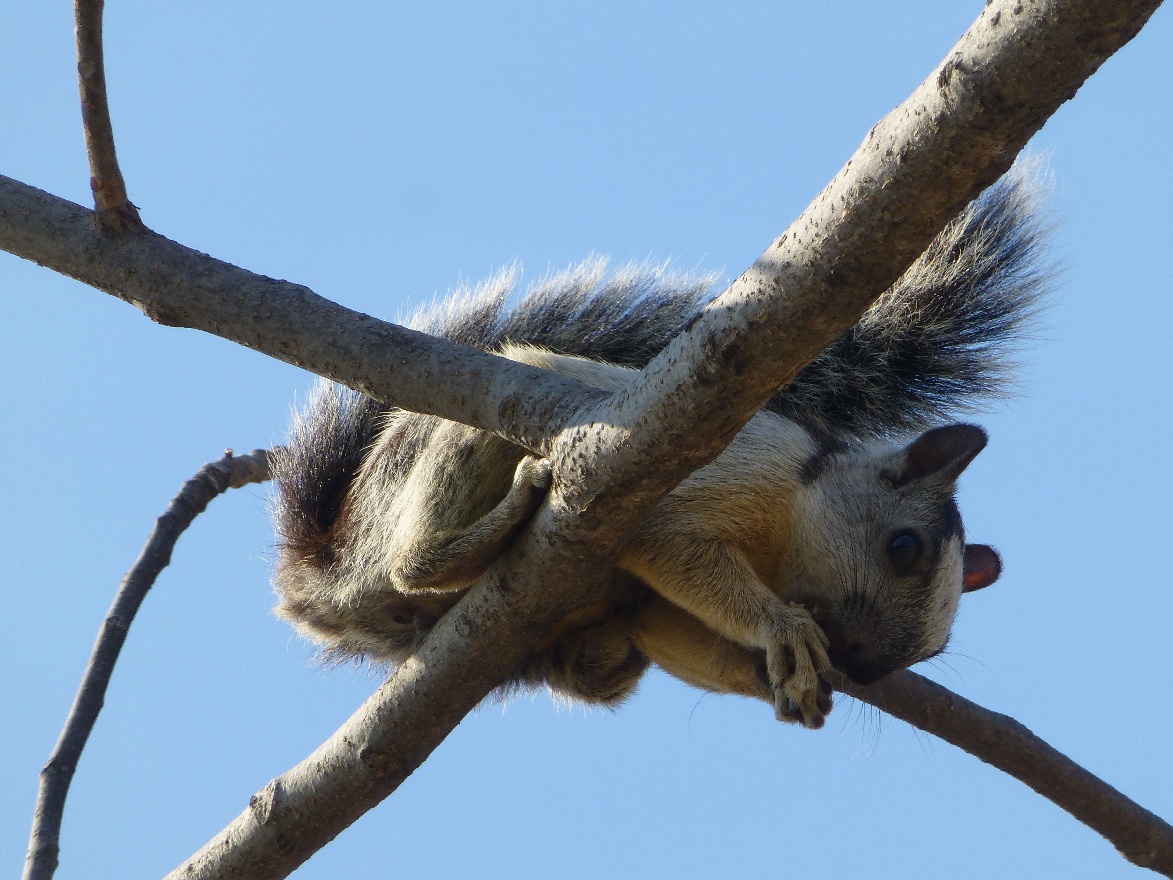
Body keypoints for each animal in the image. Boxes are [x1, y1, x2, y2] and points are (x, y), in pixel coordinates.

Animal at [271, 171, 1045, 729]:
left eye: (935, 649)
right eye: (903, 548)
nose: (859, 666)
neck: (787, 530)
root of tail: (327, 575)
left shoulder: (660, 606)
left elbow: (663, 617)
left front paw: (774, 673)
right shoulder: (730, 465)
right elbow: (669, 540)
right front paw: (782, 630)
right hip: (467, 440)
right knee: (411, 561)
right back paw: (475, 532)